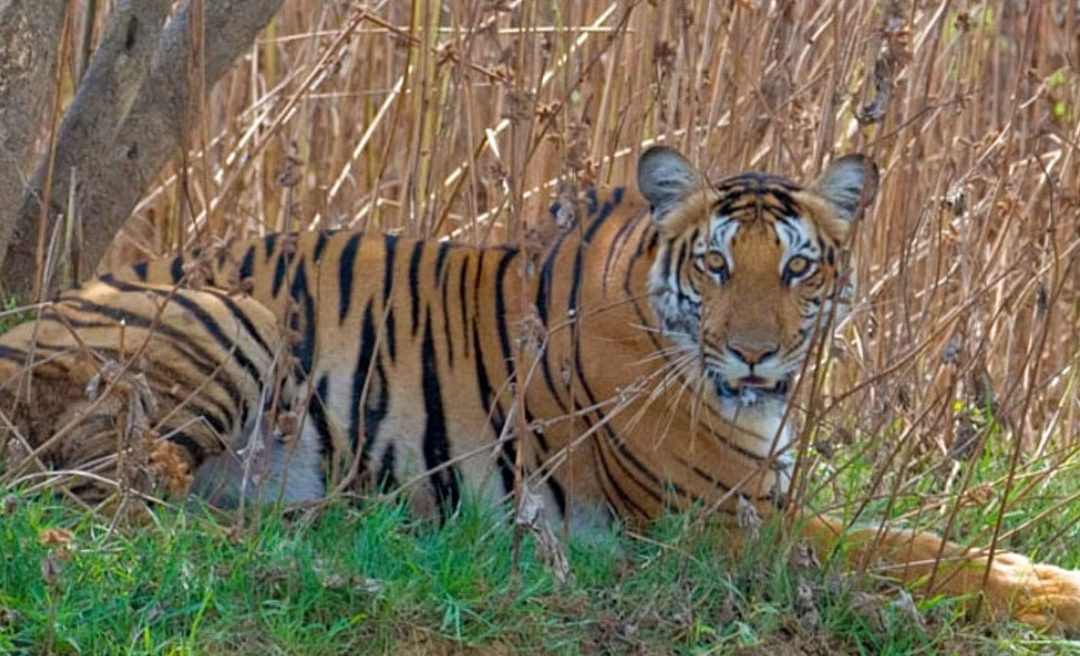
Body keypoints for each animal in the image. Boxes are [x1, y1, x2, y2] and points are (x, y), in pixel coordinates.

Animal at [3, 145, 1079, 632]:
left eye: (799, 269)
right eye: (719, 268)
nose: (757, 357)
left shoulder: (763, 498)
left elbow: (920, 536)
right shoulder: (721, 522)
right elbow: (905, 555)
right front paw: (1039, 594)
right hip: (231, 322)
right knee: (124, 497)